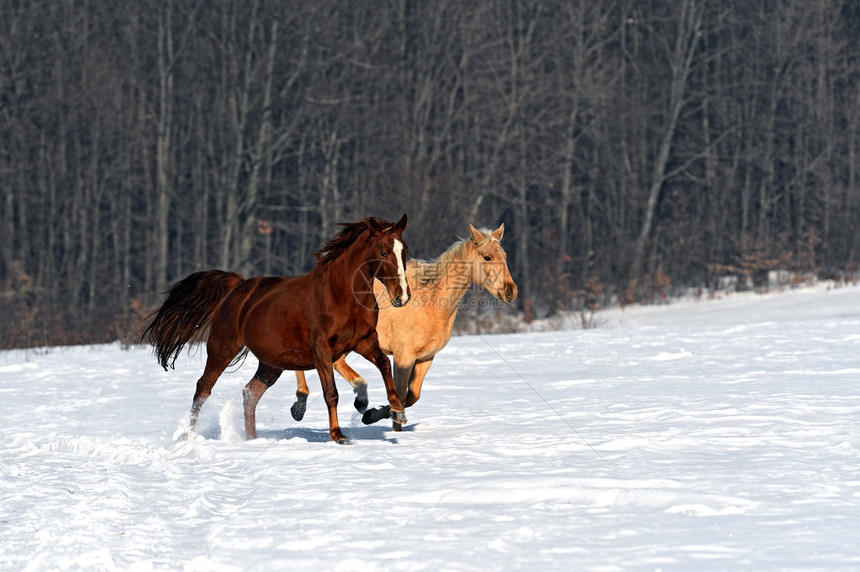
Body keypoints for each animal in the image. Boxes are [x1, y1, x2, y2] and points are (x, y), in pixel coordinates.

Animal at [144, 214, 414, 442]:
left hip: (272, 363)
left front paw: (394, 411)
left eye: (405, 250)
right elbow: (331, 393)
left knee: (250, 393)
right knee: (203, 388)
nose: (402, 296)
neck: (341, 295)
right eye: (383, 252)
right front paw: (338, 435)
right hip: (223, 348)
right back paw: (187, 436)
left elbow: (384, 365)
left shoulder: (364, 340)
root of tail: (236, 288)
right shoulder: (322, 350)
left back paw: (252, 440)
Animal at [292, 223, 512, 428]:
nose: (511, 291)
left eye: (504, 255)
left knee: (335, 363)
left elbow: (411, 396)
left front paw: (373, 413)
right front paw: (378, 417)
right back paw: (300, 405)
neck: (430, 302)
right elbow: (400, 394)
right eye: (487, 257)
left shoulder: (425, 358)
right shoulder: (403, 357)